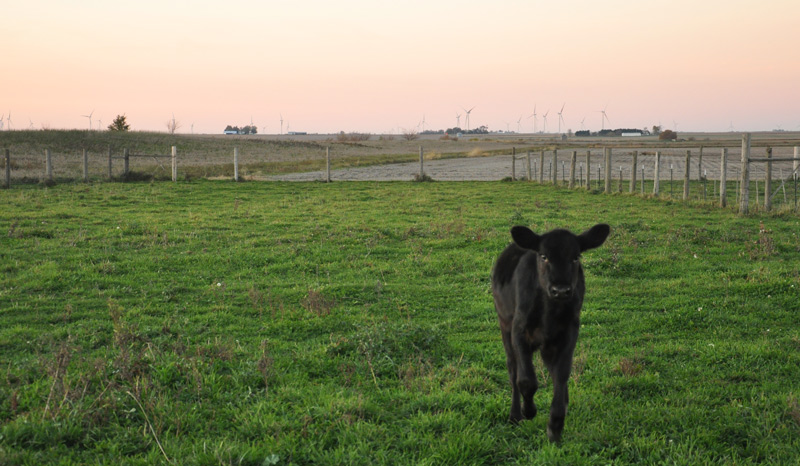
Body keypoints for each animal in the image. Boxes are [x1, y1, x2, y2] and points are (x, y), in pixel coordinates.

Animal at [491, 223, 610, 442]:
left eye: (576, 257)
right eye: (544, 256)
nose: (561, 290)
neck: (549, 312)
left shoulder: (569, 333)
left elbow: (561, 374)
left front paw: (555, 424)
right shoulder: (519, 331)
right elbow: (526, 380)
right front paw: (528, 411)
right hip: (504, 325)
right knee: (512, 369)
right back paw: (515, 415)